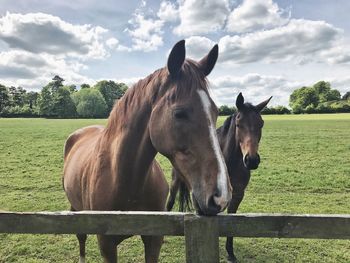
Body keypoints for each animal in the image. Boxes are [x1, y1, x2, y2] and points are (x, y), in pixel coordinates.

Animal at [63, 39, 232, 263]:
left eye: (215, 112)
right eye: (179, 113)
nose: (221, 196)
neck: (125, 180)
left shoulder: (154, 238)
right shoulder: (106, 244)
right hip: (76, 209)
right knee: (81, 236)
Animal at [166, 93, 270, 263]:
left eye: (261, 123)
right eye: (239, 124)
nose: (252, 160)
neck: (229, 162)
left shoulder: (237, 194)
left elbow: (232, 220)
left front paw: (230, 253)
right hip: (175, 181)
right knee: (169, 203)